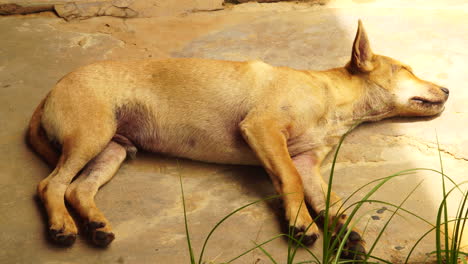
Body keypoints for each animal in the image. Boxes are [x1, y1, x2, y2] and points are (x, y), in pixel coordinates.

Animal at [27, 20, 448, 260]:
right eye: (405, 69)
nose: (447, 89)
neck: (333, 100)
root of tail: (50, 91)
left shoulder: (307, 162)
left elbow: (332, 202)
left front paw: (345, 234)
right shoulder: (264, 130)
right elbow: (290, 183)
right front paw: (301, 222)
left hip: (112, 150)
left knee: (78, 189)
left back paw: (95, 224)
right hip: (91, 136)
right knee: (52, 184)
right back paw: (62, 226)